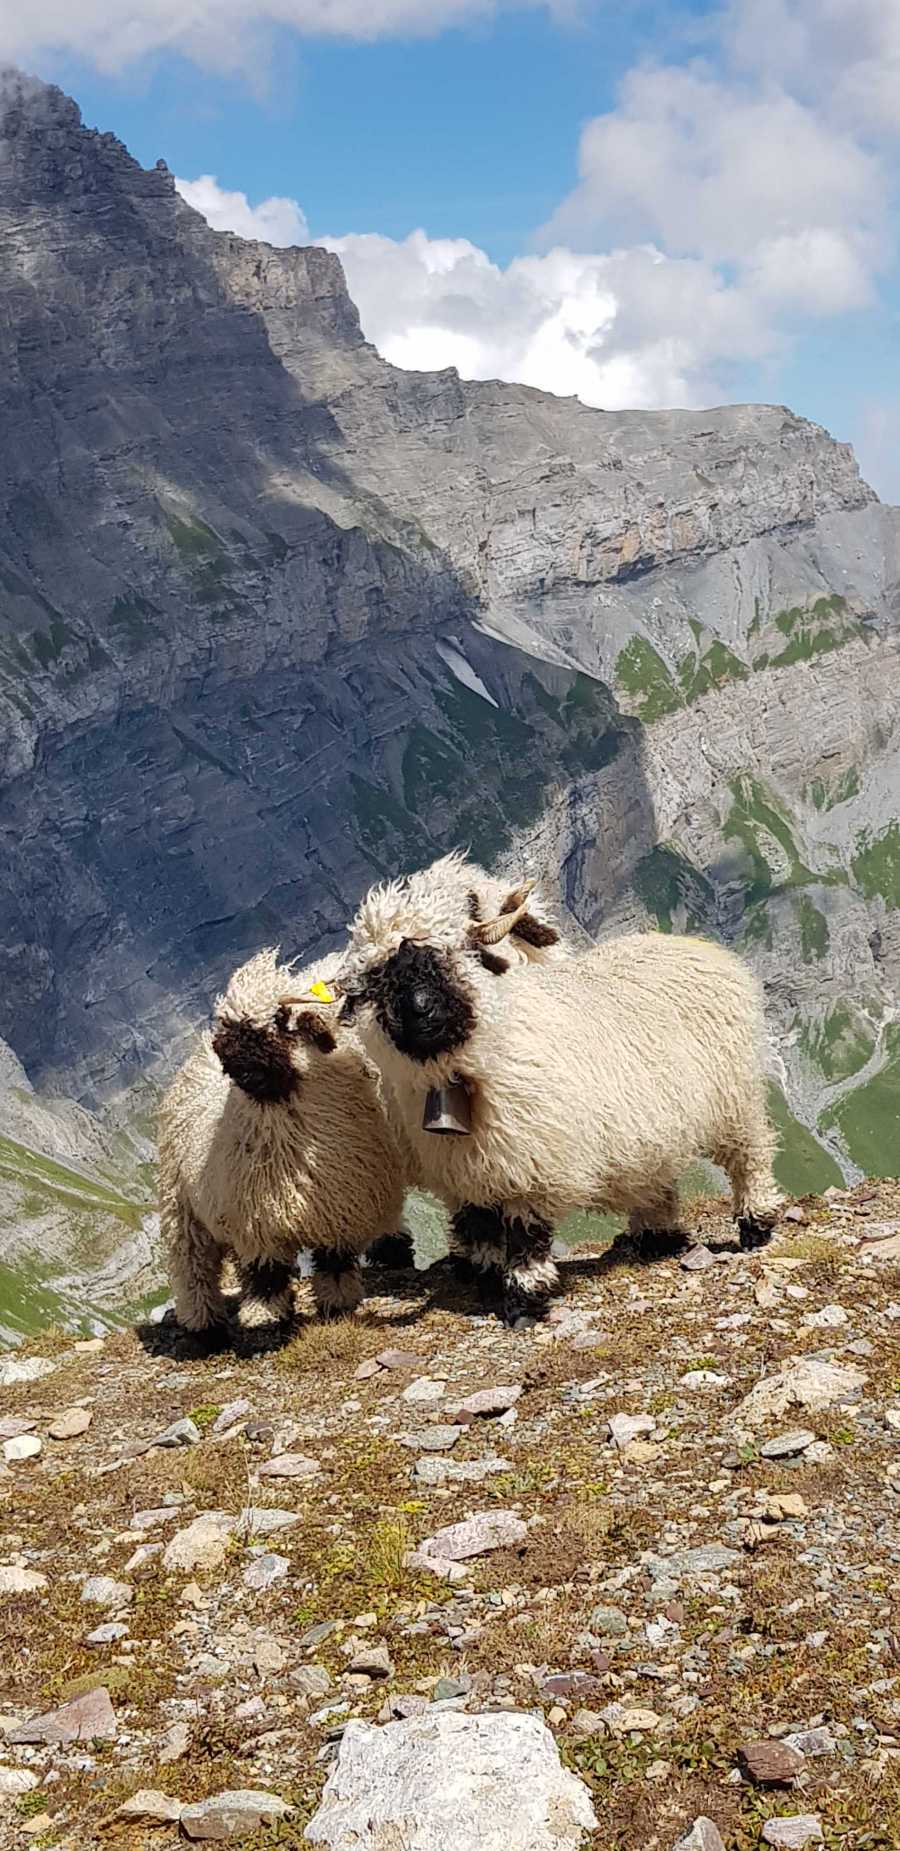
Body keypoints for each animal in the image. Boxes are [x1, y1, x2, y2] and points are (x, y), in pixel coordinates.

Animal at [158, 946, 411, 1336]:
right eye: (228, 1023)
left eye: (278, 1019)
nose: (232, 1058)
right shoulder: (257, 1225)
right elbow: (266, 1274)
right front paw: (265, 1315)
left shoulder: (339, 1209)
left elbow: (334, 1262)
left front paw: (337, 1302)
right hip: (183, 1207)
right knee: (193, 1269)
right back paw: (205, 1329)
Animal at [335, 870, 782, 1325]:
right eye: (379, 979)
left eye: (456, 953)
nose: (420, 1011)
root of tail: (693, 944)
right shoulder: (468, 1177)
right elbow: (481, 1234)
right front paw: (487, 1284)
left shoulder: (533, 1167)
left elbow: (525, 1236)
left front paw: (525, 1302)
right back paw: (659, 1238)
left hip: (735, 1098)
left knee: (750, 1156)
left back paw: (756, 1223)